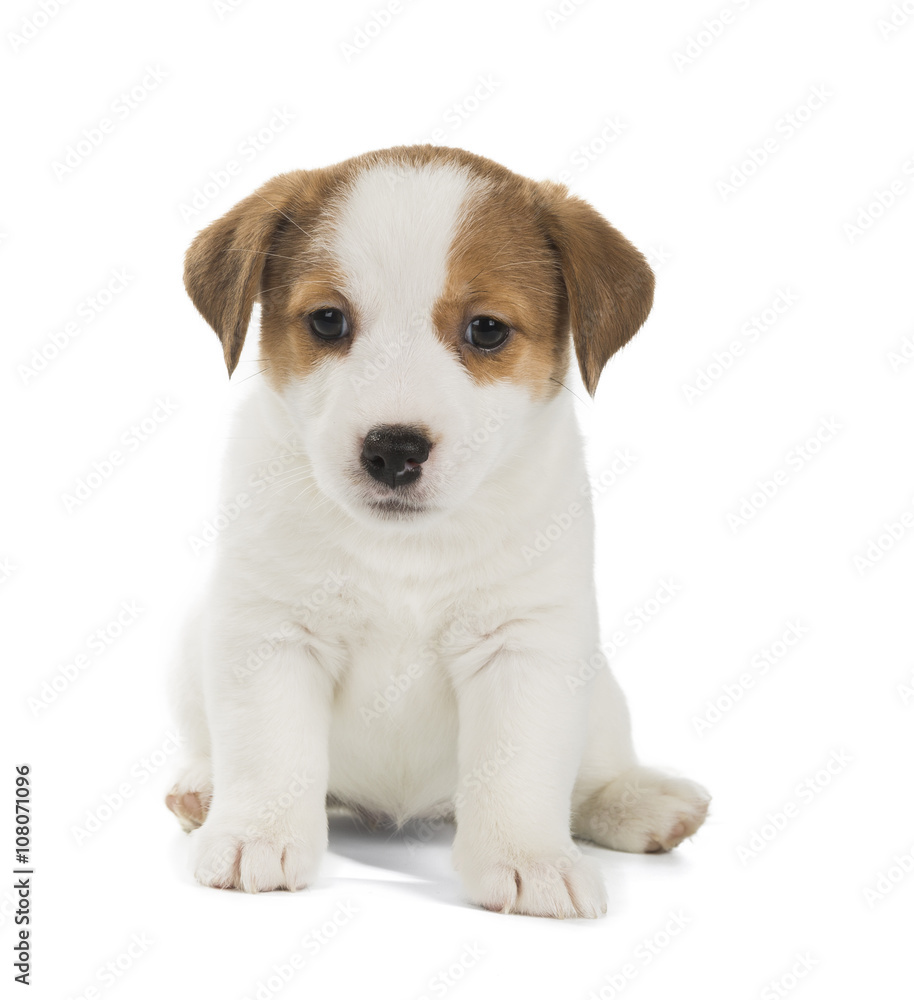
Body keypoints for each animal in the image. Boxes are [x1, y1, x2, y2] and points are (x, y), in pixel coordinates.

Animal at [169, 145, 712, 916]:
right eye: (328, 321)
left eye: (486, 329)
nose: (393, 450)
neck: (405, 552)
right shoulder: (270, 631)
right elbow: (269, 749)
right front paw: (255, 835)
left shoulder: (524, 645)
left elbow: (520, 769)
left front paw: (530, 860)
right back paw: (203, 789)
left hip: (597, 688)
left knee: (590, 776)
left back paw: (638, 803)